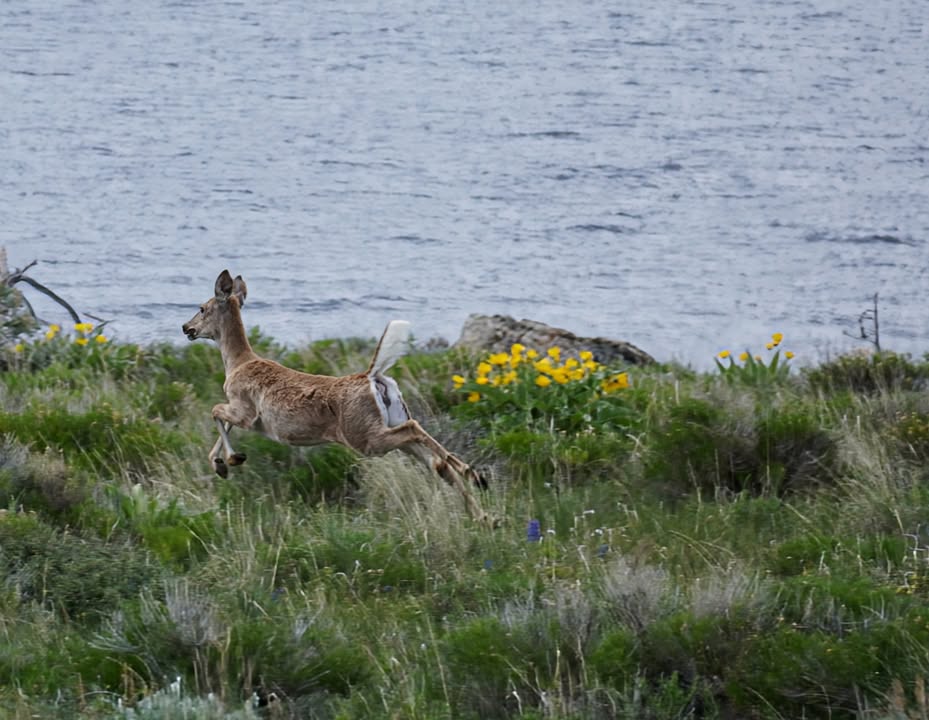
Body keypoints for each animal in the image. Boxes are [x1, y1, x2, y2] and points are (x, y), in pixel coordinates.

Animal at [182, 270, 493, 525]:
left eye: (202, 308)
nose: (186, 328)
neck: (237, 363)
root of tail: (372, 377)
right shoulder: (241, 411)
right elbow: (219, 422)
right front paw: (221, 465)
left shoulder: (246, 410)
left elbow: (215, 410)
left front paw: (232, 459)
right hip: (391, 419)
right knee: (434, 460)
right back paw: (484, 508)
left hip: (362, 435)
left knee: (415, 432)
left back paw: (476, 481)